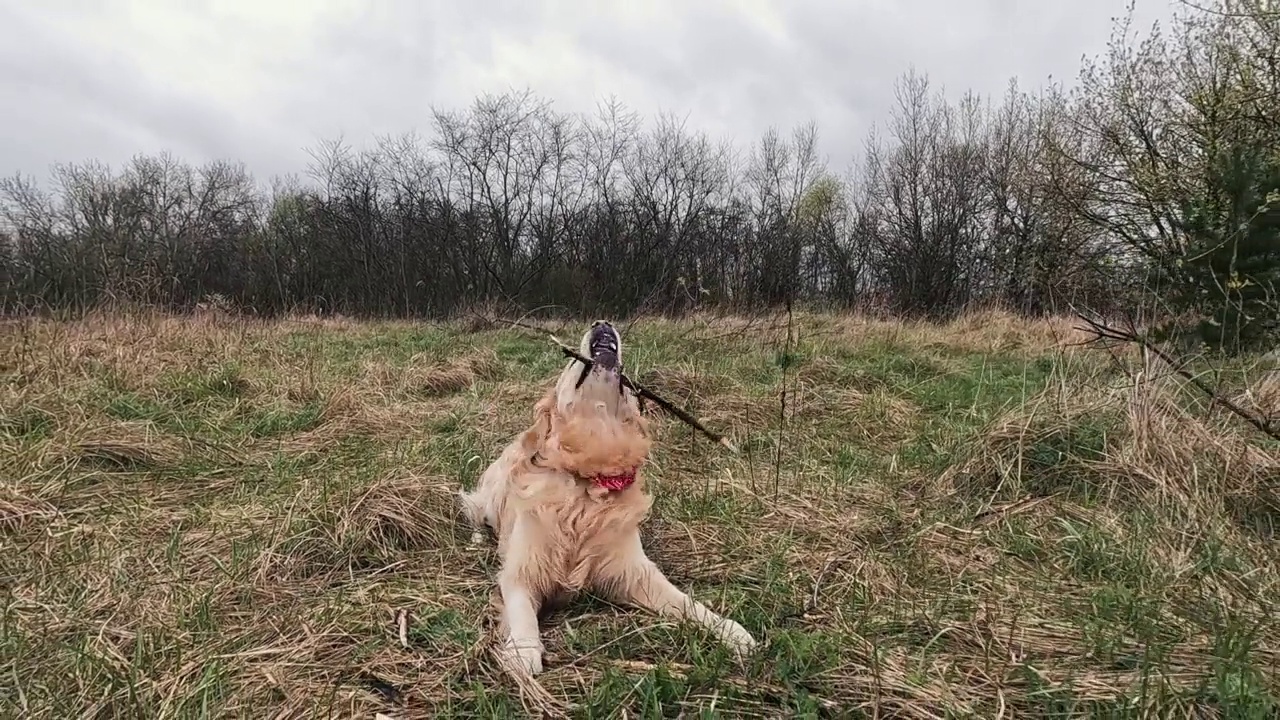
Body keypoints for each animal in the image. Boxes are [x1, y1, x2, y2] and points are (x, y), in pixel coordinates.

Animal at [460, 319, 757, 671]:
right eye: (570, 364)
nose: (602, 323)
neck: (588, 481)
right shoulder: (521, 572)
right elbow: (521, 612)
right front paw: (523, 650)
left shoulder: (634, 571)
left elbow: (686, 602)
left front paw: (730, 630)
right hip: (489, 498)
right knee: (475, 514)